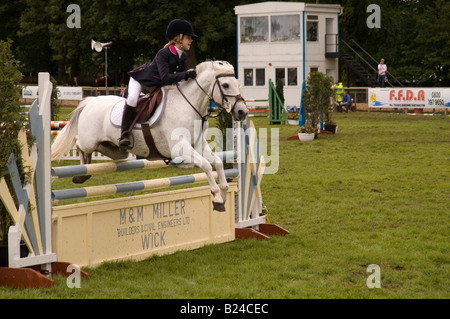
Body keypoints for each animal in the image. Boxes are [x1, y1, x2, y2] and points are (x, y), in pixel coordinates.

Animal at [52, 61, 250, 211]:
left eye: (238, 84)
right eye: (225, 85)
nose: (242, 112)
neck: (189, 105)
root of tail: (90, 101)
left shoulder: (198, 144)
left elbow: (217, 162)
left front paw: (223, 193)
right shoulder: (180, 148)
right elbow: (207, 165)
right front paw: (216, 197)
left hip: (117, 150)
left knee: (109, 151)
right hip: (89, 140)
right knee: (79, 144)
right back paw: (81, 174)